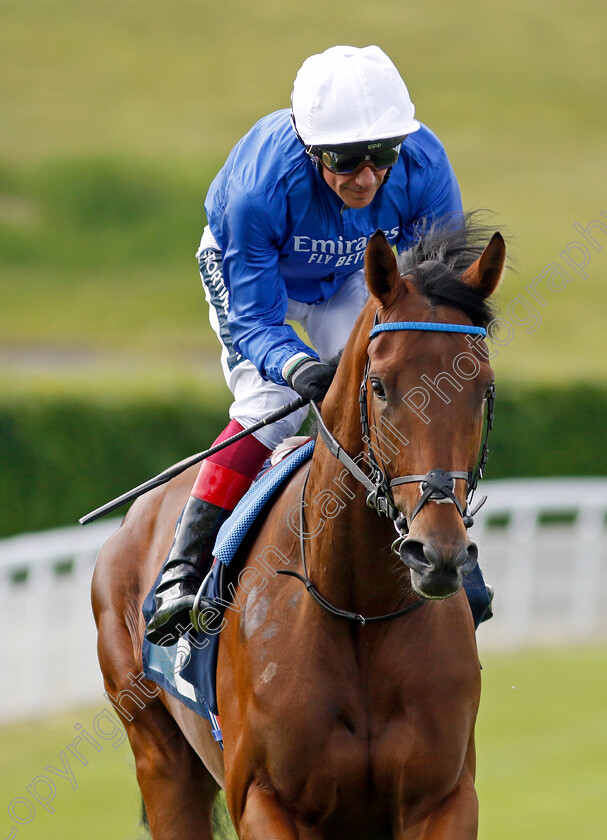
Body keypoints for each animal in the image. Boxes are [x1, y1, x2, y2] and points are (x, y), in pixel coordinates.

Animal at [92, 218, 506, 840]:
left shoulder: (445, 798)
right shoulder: (266, 800)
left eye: (480, 387)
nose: (437, 553)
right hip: (160, 757)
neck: (359, 609)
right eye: (380, 385)